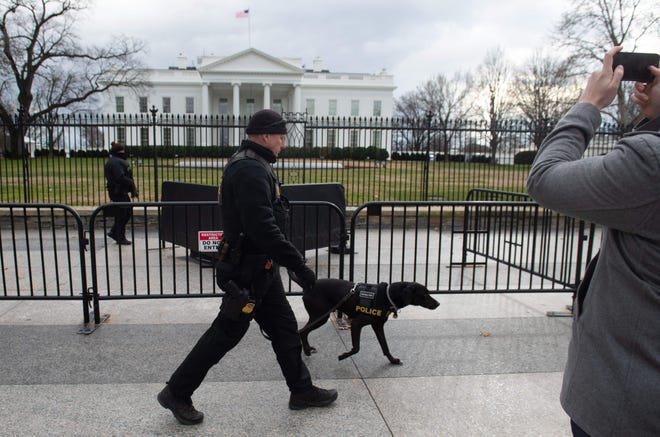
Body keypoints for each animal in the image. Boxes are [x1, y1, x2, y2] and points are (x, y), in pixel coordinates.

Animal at [300, 280, 438, 364]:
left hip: (319, 317)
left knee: (303, 332)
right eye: (424, 295)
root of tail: (308, 287)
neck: (387, 296)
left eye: (428, 292)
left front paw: (392, 360)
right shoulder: (356, 324)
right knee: (302, 331)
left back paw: (307, 349)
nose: (438, 303)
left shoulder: (378, 326)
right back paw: (306, 350)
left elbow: (385, 347)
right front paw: (344, 355)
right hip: (320, 317)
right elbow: (356, 348)